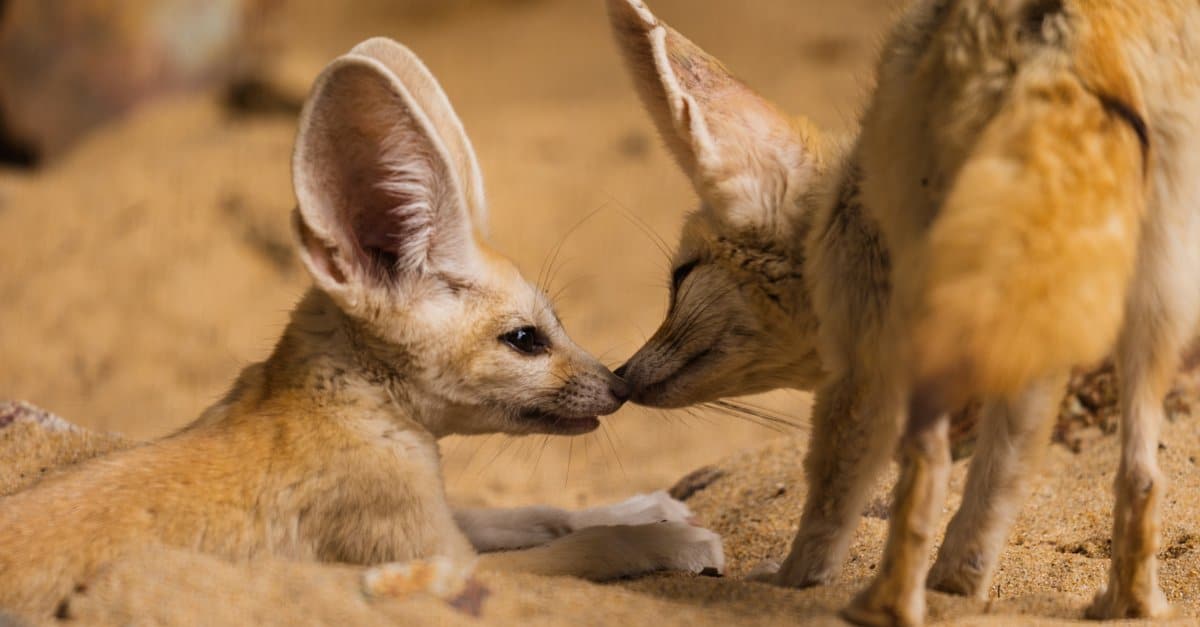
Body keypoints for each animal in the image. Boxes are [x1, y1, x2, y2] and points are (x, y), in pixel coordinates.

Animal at [0, 36, 720, 614]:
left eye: (557, 323)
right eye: (525, 340)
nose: (619, 386)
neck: (341, 403)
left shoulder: (440, 519)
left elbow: (539, 512)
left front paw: (640, 505)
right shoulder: (431, 555)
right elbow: (581, 549)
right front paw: (662, 537)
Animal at [609, 0, 1200, 619]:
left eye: (680, 276)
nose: (619, 376)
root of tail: (1074, 27)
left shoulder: (867, 344)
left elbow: (833, 485)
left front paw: (794, 579)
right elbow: (1001, 477)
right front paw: (956, 587)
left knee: (927, 460)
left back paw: (882, 607)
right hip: (1156, 286)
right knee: (1141, 476)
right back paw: (1130, 605)